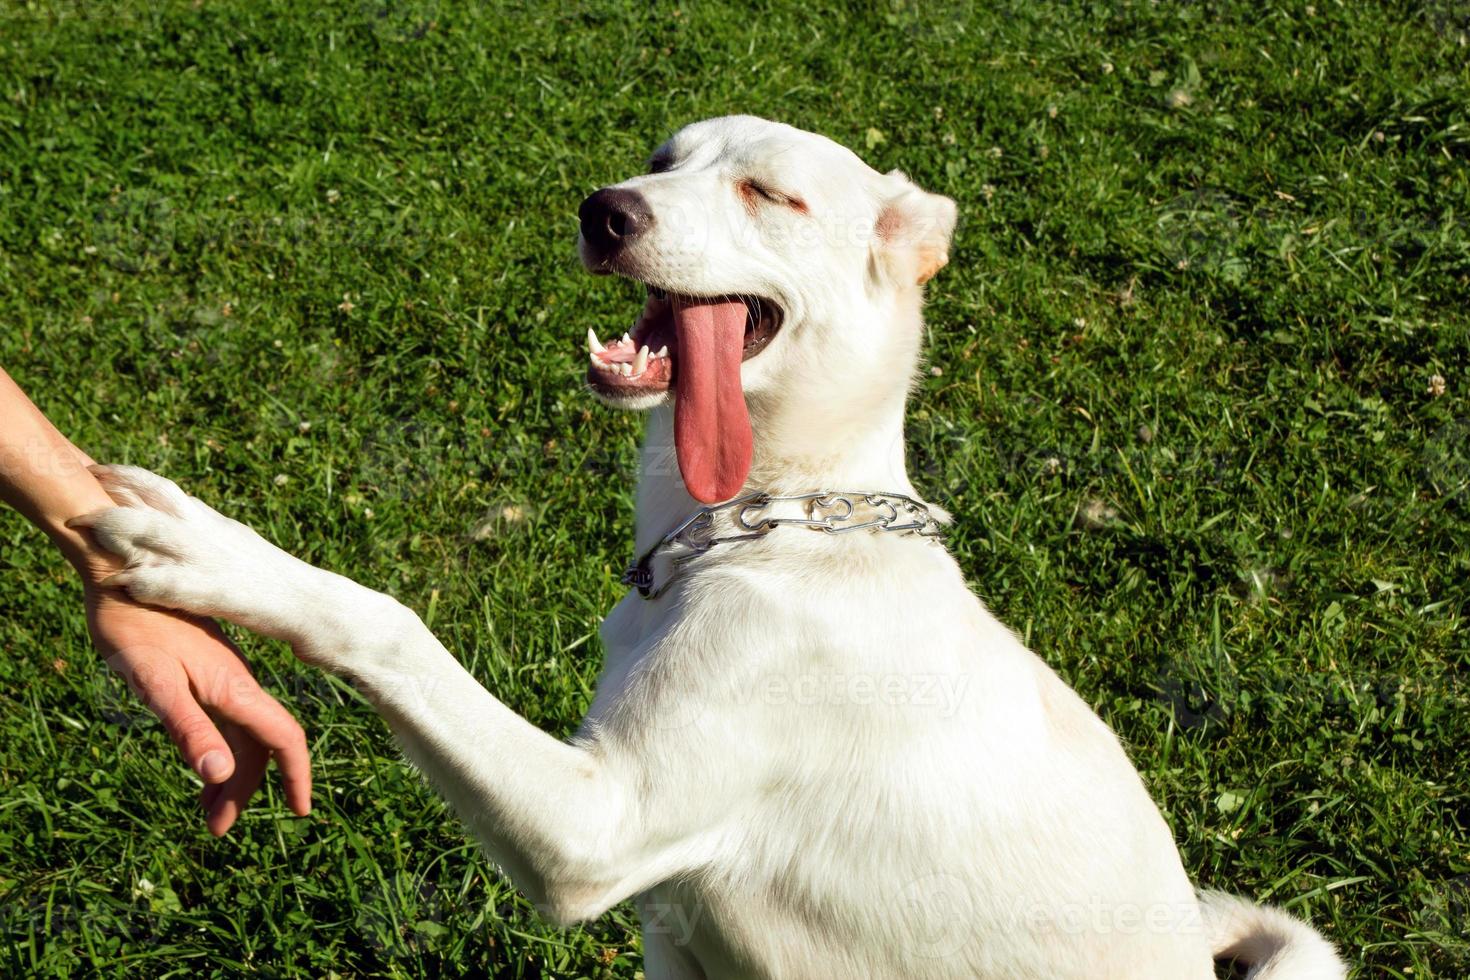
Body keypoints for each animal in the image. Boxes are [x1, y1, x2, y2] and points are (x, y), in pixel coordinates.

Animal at [77, 116, 1346, 980]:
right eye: (661, 155)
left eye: (771, 193)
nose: (604, 208)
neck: (767, 526)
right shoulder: (669, 932)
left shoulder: (594, 828)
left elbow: (386, 618)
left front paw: (212, 550)